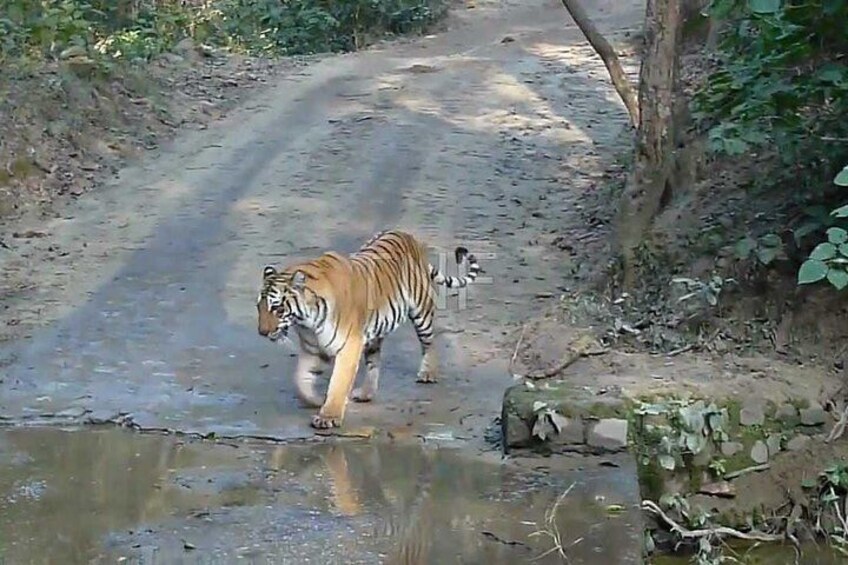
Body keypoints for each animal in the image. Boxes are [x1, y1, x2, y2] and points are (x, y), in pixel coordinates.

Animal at [258, 228, 480, 428]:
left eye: (277, 308)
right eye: (259, 307)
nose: (262, 332)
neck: (307, 322)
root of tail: (409, 236)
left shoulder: (348, 347)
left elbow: (338, 382)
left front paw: (328, 417)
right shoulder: (313, 349)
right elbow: (300, 380)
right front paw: (315, 400)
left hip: (421, 311)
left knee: (429, 343)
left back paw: (428, 374)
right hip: (375, 331)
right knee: (374, 362)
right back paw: (366, 393)